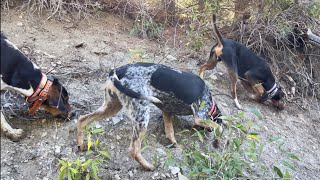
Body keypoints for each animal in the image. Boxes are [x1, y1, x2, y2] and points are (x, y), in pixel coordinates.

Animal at [77, 62, 222, 171]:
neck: (211, 101)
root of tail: (117, 71)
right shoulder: (199, 116)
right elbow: (220, 128)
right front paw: (218, 141)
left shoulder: (167, 111)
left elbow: (170, 133)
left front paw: (176, 146)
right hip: (141, 116)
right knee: (134, 150)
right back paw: (148, 166)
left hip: (111, 107)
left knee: (82, 119)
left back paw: (81, 145)